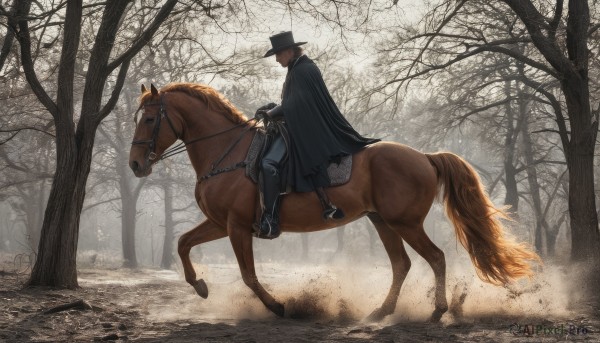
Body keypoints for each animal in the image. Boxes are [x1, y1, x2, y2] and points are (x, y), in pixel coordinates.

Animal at [129, 82, 540, 322]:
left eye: (149, 119)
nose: (135, 165)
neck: (226, 152)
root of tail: (424, 156)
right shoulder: (221, 223)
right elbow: (183, 243)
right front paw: (199, 286)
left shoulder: (235, 226)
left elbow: (248, 275)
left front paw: (277, 306)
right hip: (383, 222)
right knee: (402, 264)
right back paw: (381, 311)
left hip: (404, 223)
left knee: (435, 258)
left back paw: (437, 311)